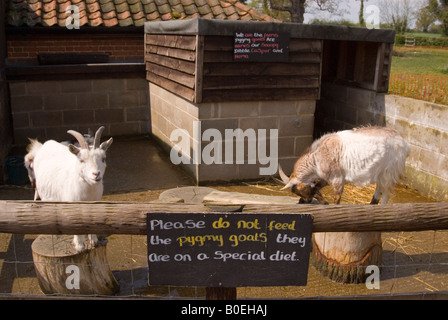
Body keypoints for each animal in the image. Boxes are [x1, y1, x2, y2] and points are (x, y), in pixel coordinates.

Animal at [280, 125, 410, 204]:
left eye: (299, 190)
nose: (304, 200)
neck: (317, 156)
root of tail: (403, 143)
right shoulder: (327, 177)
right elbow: (317, 186)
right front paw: (322, 201)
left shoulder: (338, 178)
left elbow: (337, 198)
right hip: (380, 172)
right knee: (378, 190)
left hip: (389, 171)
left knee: (386, 193)